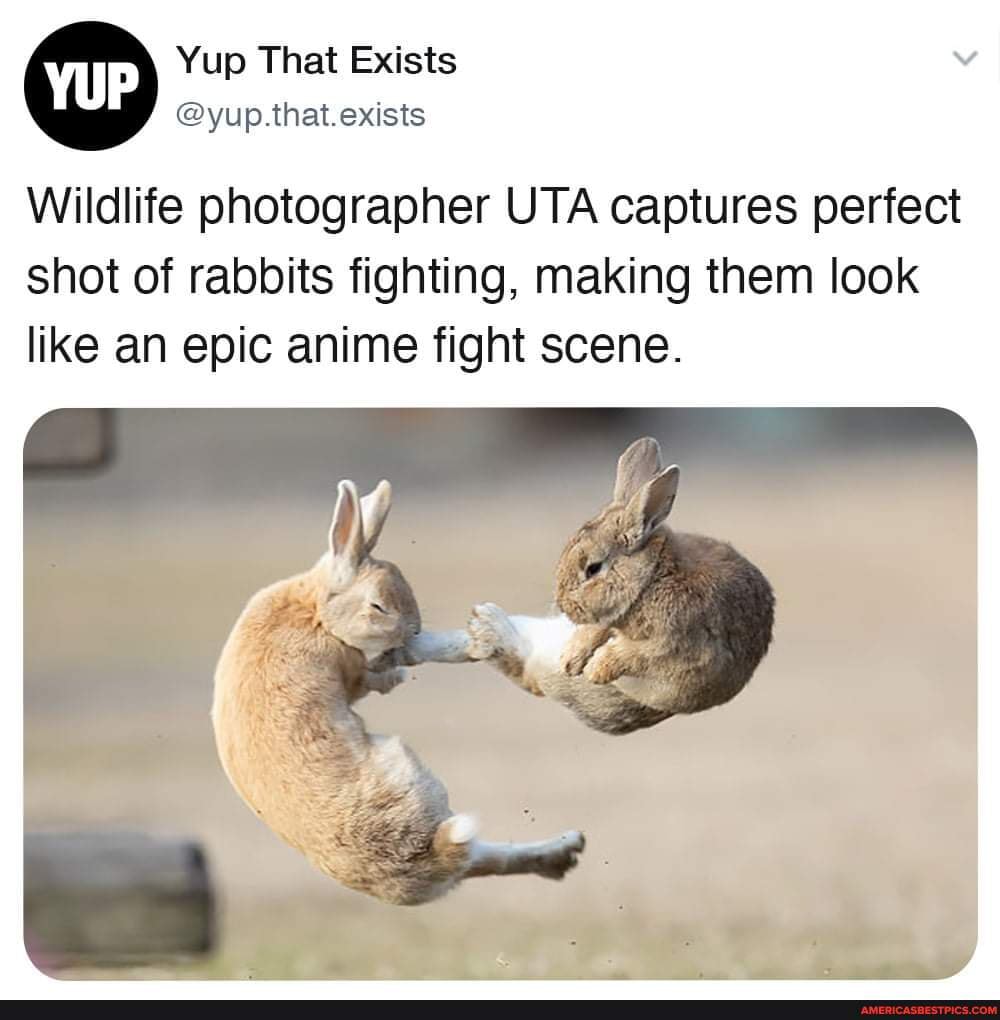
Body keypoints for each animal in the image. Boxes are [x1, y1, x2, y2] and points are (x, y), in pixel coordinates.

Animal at [212, 478, 585, 906]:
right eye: (378, 606)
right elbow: (378, 673)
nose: (414, 630)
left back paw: (566, 849)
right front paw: (429, 660)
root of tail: (431, 855)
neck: (317, 611)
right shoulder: (354, 669)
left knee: (486, 859)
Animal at [446, 438, 774, 735]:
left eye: (593, 568)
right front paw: (572, 659)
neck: (651, 579)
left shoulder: (672, 645)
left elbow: (630, 655)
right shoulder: (607, 619)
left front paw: (594, 669)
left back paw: (486, 626)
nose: (564, 605)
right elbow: (596, 632)